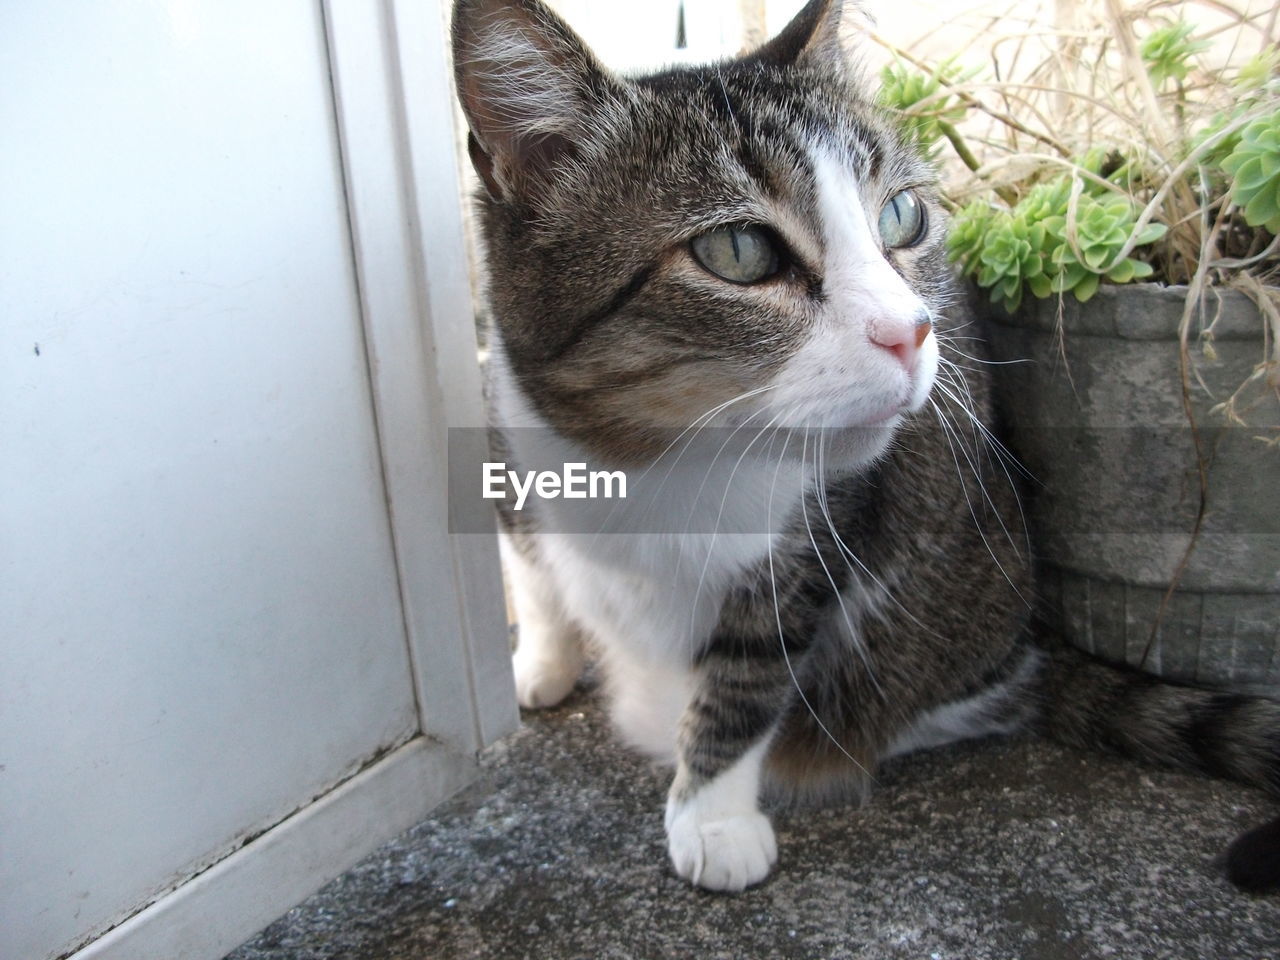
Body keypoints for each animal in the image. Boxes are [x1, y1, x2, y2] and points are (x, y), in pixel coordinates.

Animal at [453, 0, 1280, 896]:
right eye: (737, 251)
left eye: (901, 217)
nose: (911, 331)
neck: (646, 456)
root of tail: (1026, 655)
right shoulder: (506, 425)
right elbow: (531, 568)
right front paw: (538, 661)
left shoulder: (811, 540)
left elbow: (746, 679)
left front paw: (711, 817)